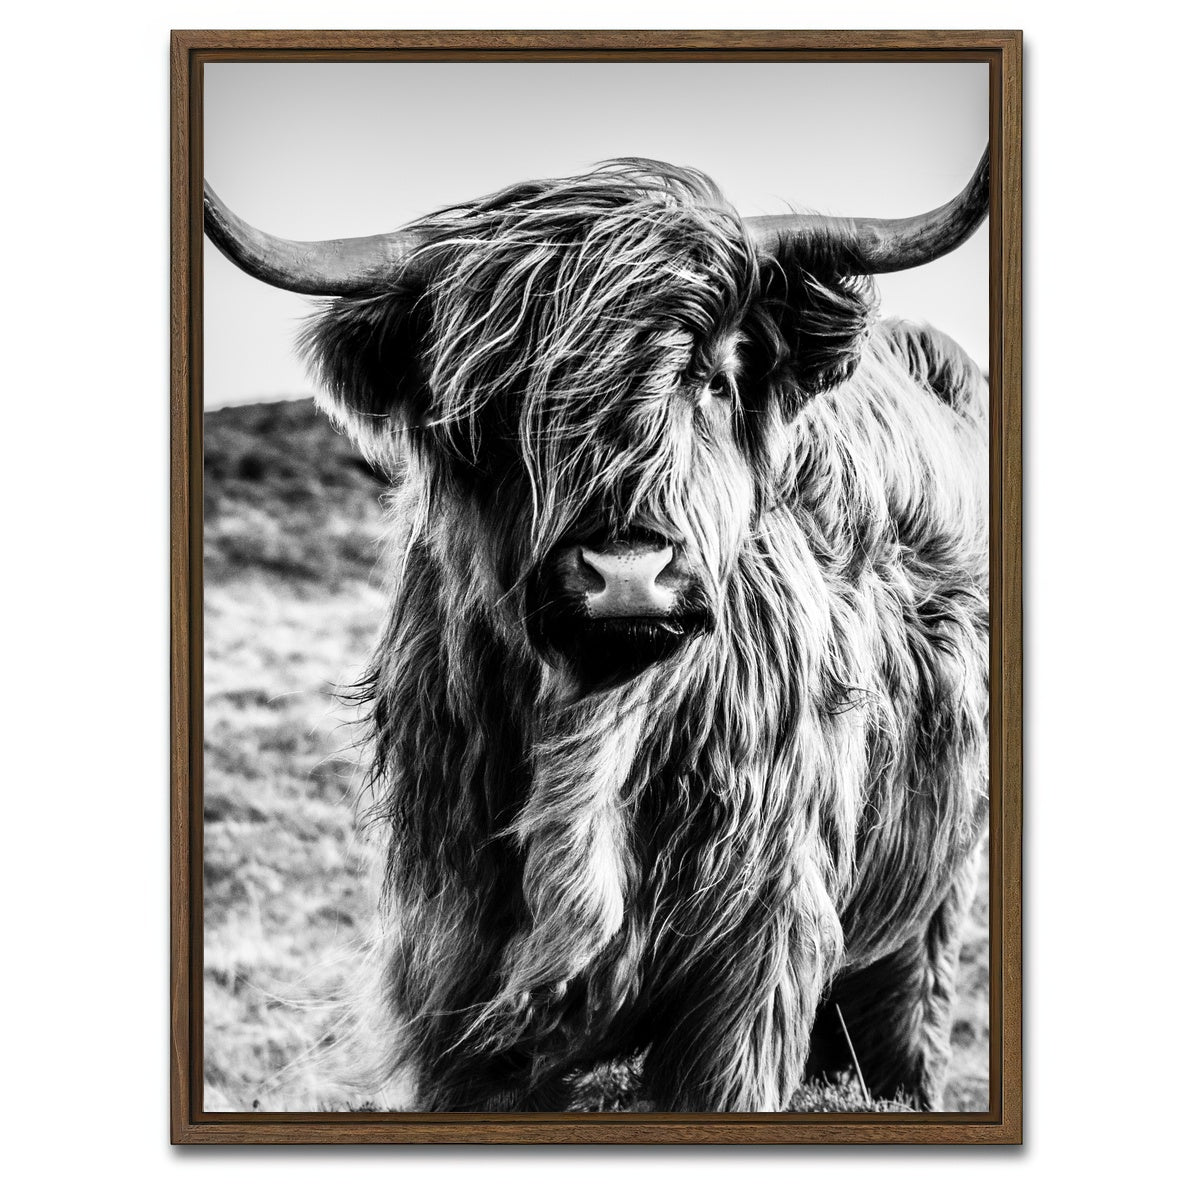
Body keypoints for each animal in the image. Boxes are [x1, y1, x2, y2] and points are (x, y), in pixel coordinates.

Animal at [205, 148, 991, 1113]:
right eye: (499, 403)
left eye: (712, 377)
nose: (626, 574)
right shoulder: (453, 971)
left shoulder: (754, 960)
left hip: (930, 912)